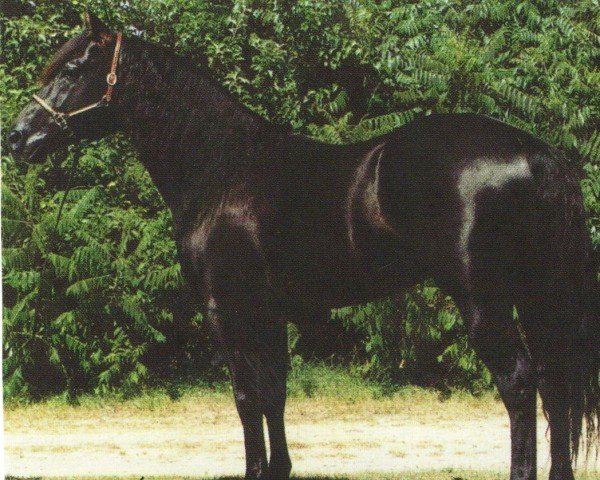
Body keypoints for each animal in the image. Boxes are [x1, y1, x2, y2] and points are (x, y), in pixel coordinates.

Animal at [7, 13, 596, 478]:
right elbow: (275, 395)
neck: (221, 168)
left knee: (519, 385)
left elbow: (246, 397)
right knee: (555, 385)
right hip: (537, 297)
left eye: (72, 70)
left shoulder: (229, 311)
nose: (17, 136)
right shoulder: (269, 314)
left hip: (483, 301)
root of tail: (538, 154)